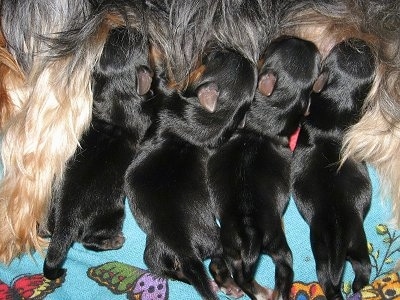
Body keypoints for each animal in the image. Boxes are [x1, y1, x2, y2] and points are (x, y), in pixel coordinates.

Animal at [43, 24, 154, 280]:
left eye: (116, 38)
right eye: (140, 40)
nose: (124, 25)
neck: (116, 91)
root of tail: (65, 219)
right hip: (110, 215)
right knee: (89, 241)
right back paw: (114, 241)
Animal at [124, 47, 256, 300]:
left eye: (216, 58)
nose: (219, 47)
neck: (208, 120)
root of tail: (186, 253)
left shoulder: (167, 97)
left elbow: (160, 81)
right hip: (187, 248)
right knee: (206, 265)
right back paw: (228, 285)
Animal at [208, 37, 320, 300]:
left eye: (272, 46)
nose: (307, 40)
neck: (260, 126)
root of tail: (248, 230)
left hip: (230, 246)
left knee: (240, 274)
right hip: (278, 244)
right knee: (284, 273)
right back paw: (276, 292)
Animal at [290, 39, 376, 300]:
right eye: (343, 46)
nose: (361, 42)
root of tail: (340, 239)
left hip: (323, 251)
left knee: (329, 278)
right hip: (358, 245)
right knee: (362, 269)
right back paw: (357, 289)